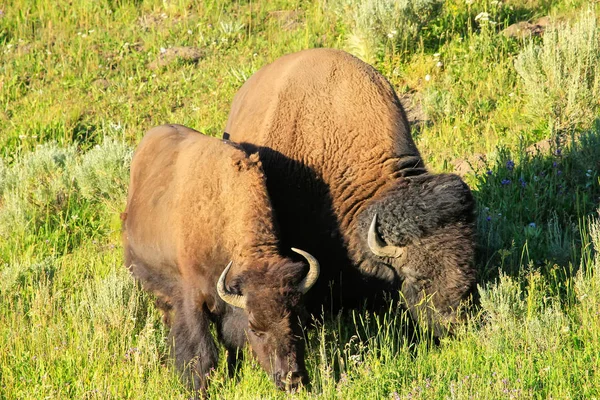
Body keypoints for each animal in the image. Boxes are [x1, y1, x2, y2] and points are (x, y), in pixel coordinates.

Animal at [119, 124, 322, 394]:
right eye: (255, 327)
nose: (292, 379)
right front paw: (199, 389)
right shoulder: (193, 298)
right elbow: (201, 353)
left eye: (299, 318)